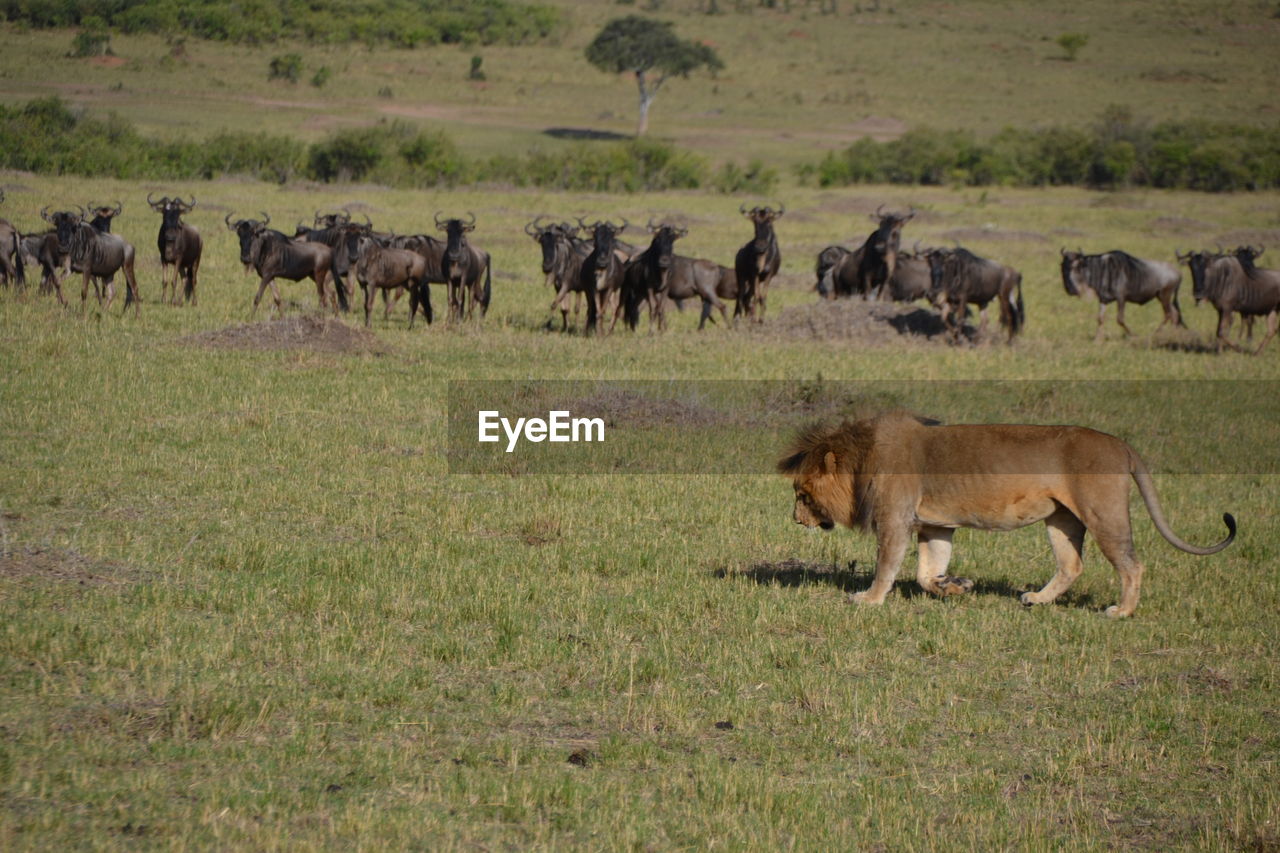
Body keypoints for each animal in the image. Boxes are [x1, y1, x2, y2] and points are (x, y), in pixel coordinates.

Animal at [773, 409, 1233, 614]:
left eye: (801, 493)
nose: (795, 520)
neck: (862, 458)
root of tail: (1121, 444)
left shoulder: (895, 520)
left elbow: (887, 566)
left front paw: (868, 599)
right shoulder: (934, 526)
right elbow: (926, 572)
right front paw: (954, 586)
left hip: (1104, 514)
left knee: (1132, 565)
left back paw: (1121, 611)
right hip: (1061, 520)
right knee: (1071, 565)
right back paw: (1037, 599)